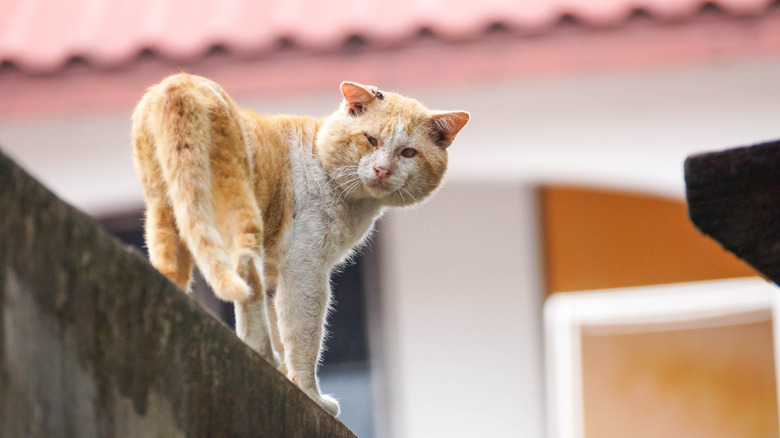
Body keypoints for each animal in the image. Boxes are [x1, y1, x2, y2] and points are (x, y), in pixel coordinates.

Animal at [132, 73, 470, 416]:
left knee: (171, 268)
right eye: (371, 140)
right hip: (237, 205)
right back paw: (261, 351)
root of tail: (181, 82)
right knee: (245, 271)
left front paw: (288, 376)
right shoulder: (305, 267)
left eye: (408, 153)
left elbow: (280, 323)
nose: (382, 170)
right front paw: (309, 393)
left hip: (165, 212)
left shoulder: (278, 272)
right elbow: (303, 336)